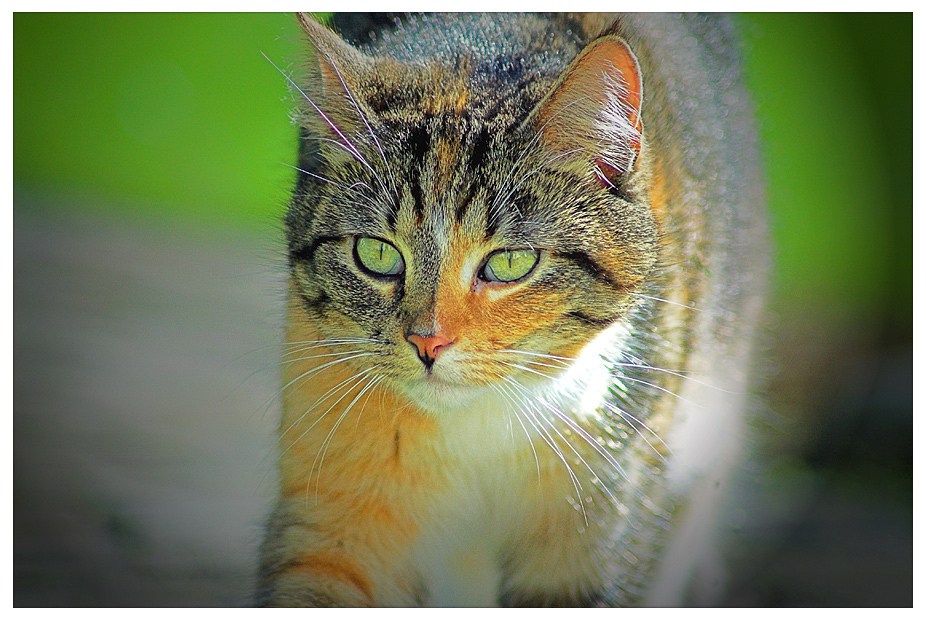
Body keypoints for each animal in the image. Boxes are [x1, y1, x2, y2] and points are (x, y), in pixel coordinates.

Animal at [256, 12, 768, 608]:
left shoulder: (605, 504)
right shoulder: (334, 501)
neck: (474, 427)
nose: (428, 342)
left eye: (510, 262)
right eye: (377, 254)